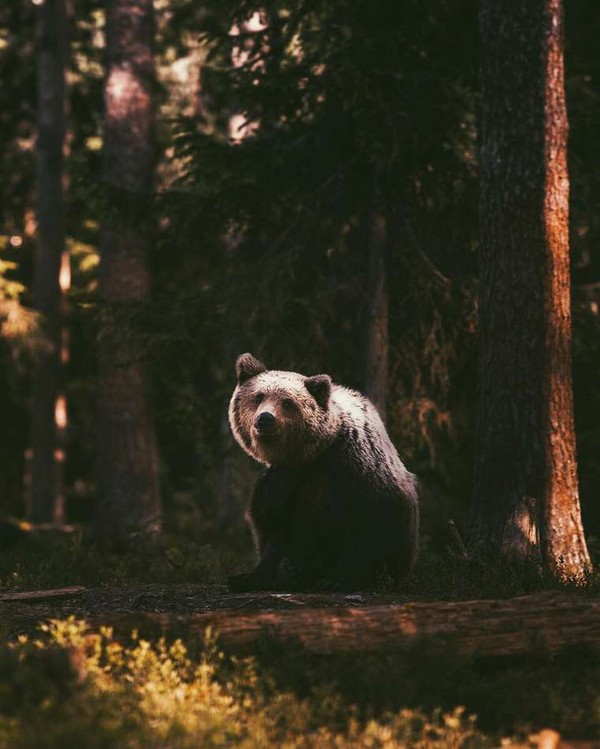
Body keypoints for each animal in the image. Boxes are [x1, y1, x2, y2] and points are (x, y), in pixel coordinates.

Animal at [227, 350, 420, 592]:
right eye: (259, 396)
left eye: (287, 402)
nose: (265, 419)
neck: (312, 455)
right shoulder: (281, 481)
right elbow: (274, 527)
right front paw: (253, 576)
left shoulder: (354, 468)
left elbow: (368, 525)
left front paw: (340, 579)